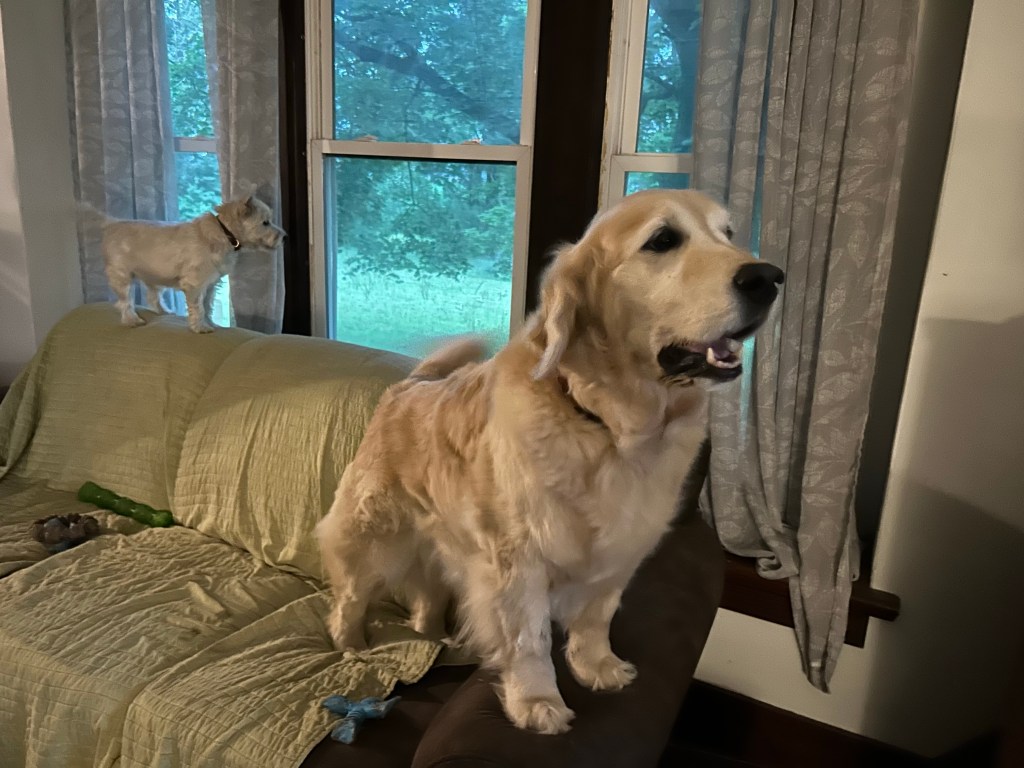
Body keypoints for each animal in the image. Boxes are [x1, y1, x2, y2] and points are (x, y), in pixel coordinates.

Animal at [98, 195, 285, 333]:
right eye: (265, 222)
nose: (285, 237)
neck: (225, 233)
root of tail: (112, 225)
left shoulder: (210, 284)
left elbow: (207, 305)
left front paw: (211, 323)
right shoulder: (195, 284)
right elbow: (198, 307)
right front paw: (201, 328)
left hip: (154, 276)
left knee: (153, 296)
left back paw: (163, 311)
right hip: (122, 276)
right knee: (125, 301)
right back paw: (132, 320)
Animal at [316, 189, 784, 734]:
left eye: (727, 233)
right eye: (663, 240)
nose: (768, 277)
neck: (607, 428)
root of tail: (409, 386)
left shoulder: (621, 551)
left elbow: (596, 616)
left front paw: (596, 665)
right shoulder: (517, 566)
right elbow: (529, 640)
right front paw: (536, 700)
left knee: (427, 597)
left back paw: (433, 637)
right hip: (372, 537)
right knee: (349, 596)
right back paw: (352, 645)